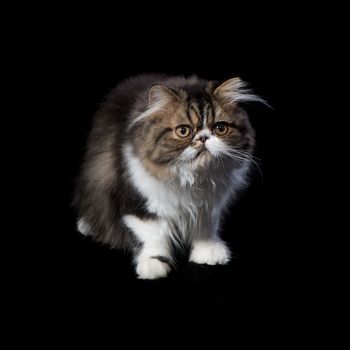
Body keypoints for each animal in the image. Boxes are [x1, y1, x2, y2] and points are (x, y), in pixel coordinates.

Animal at [74, 73, 266, 278]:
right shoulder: (139, 201)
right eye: (183, 131)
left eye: (220, 128)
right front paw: (154, 264)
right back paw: (86, 225)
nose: (203, 138)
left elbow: (205, 229)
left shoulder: (208, 206)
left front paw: (208, 252)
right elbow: (153, 234)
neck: (194, 178)